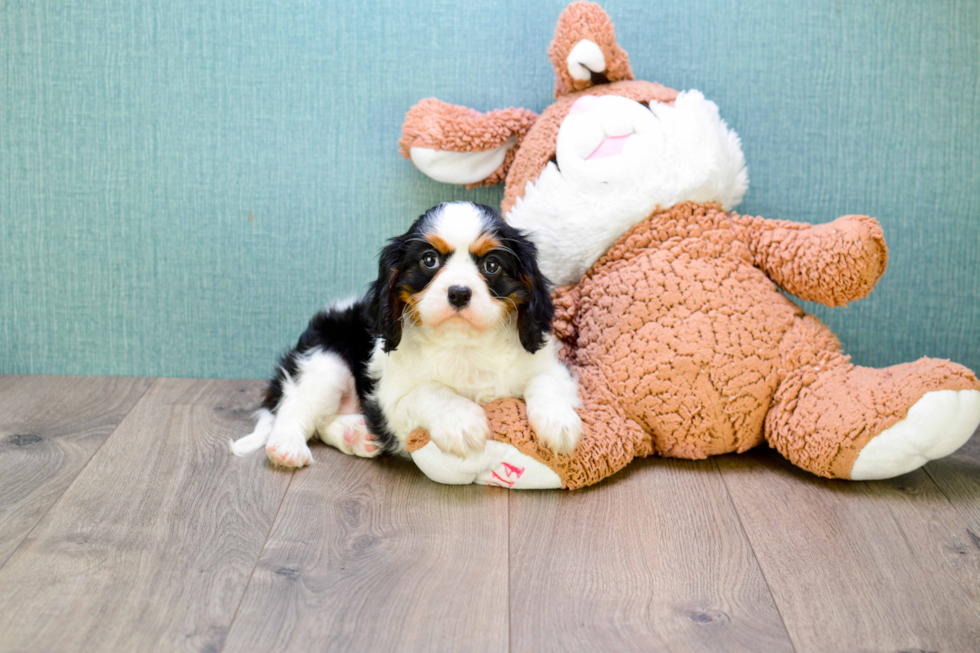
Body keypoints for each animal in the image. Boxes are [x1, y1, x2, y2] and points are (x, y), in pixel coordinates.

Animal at [230, 201, 580, 466]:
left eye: (492, 265)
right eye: (429, 260)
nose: (459, 293)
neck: (462, 345)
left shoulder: (547, 364)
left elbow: (545, 382)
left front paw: (559, 422)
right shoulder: (391, 405)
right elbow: (429, 391)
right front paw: (462, 422)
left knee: (321, 423)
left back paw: (356, 435)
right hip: (324, 363)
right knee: (296, 409)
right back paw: (287, 447)